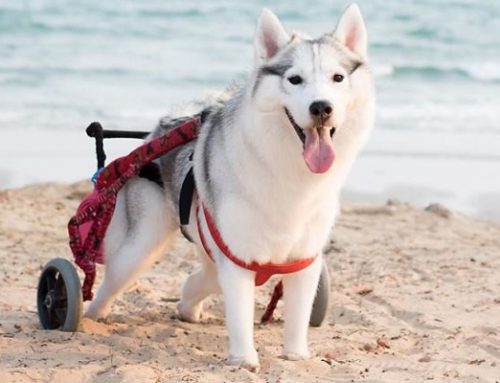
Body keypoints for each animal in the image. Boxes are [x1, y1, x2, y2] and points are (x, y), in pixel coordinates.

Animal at [86, 2, 374, 368]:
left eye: (338, 78)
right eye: (294, 79)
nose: (321, 107)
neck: (290, 173)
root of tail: (162, 128)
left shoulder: (305, 259)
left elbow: (297, 314)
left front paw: (296, 354)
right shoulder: (237, 261)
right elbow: (238, 312)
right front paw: (244, 359)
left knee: (202, 278)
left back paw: (187, 307)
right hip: (140, 247)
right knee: (112, 280)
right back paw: (87, 316)